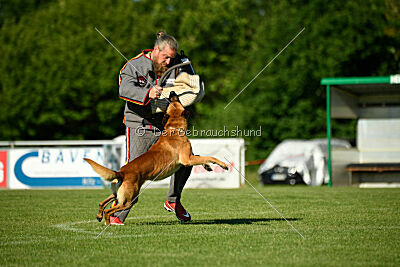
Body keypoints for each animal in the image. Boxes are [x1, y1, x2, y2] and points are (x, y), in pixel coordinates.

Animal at [84, 92, 228, 226]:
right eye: (175, 99)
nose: (172, 93)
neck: (174, 128)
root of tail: (121, 172)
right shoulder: (186, 159)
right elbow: (209, 156)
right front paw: (222, 164)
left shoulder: (188, 159)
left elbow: (201, 157)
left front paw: (207, 166)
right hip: (130, 199)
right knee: (110, 210)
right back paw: (109, 223)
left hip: (118, 193)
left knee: (103, 202)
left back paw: (99, 215)